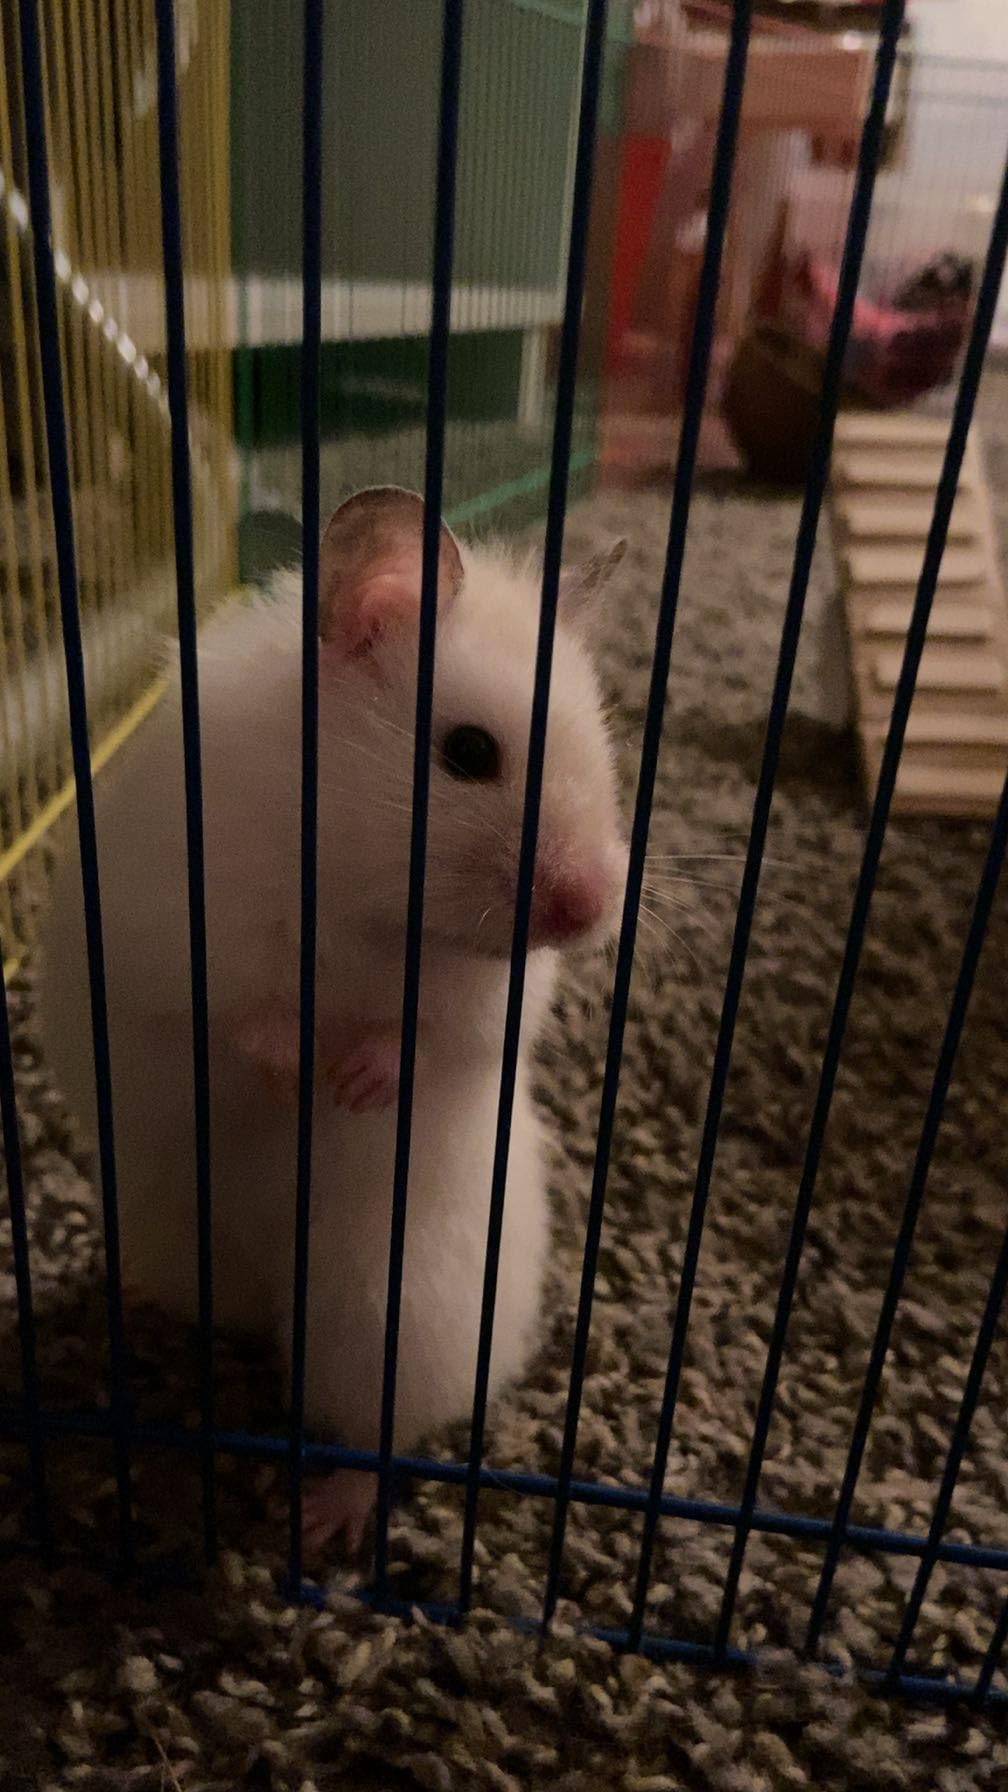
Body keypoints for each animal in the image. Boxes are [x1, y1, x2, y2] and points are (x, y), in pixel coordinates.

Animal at [38, 486, 628, 1551]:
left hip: (387, 1315)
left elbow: (433, 1039)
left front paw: (353, 1084)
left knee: (376, 1432)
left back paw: (322, 1520)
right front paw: (301, 1062)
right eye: (469, 753)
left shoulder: (487, 1001)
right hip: (173, 1229)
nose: (593, 908)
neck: (359, 887)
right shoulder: (172, 931)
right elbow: (234, 1011)